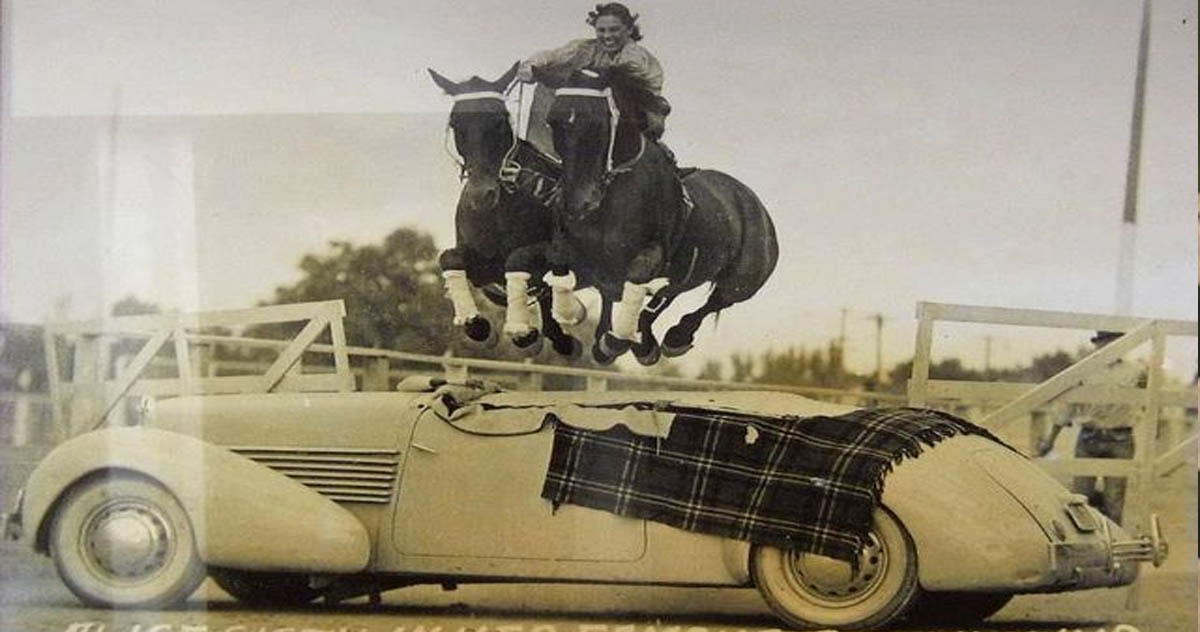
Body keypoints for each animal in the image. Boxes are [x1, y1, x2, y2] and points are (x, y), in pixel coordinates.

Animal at [429, 67, 583, 362]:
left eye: (500, 122)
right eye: (456, 123)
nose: (482, 195)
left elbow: (518, 261)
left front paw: (525, 333)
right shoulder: (482, 266)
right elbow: (450, 258)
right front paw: (478, 326)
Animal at [544, 66, 777, 364]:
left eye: (597, 124)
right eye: (553, 121)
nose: (577, 202)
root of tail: (752, 201)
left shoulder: (649, 256)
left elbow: (629, 285)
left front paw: (613, 341)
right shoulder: (579, 255)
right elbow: (575, 275)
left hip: (744, 281)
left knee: (714, 300)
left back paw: (674, 338)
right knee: (668, 295)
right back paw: (645, 342)